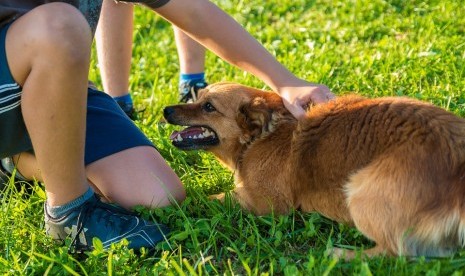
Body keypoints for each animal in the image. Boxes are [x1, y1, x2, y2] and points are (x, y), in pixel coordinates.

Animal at [162, 82, 464, 258]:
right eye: (197, 97)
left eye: (208, 106)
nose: (165, 110)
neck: (263, 135)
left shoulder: (264, 204)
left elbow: (207, 199)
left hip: (360, 191)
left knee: (396, 253)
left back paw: (342, 255)